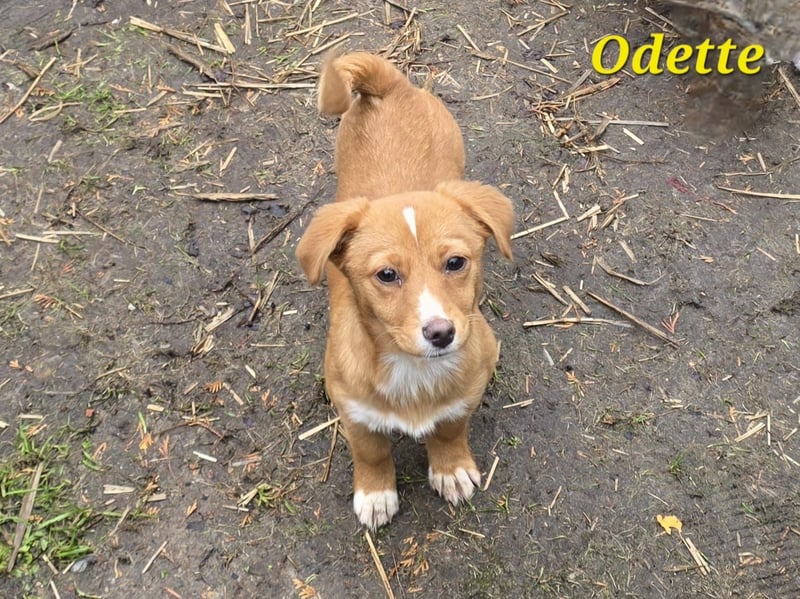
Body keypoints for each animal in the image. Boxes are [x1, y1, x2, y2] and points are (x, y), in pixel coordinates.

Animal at [296, 52, 514, 529]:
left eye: (456, 263)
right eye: (386, 275)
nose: (441, 333)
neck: (413, 370)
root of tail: (389, 84)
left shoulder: (470, 385)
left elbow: (449, 427)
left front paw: (450, 468)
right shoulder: (354, 410)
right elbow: (372, 452)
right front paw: (376, 494)